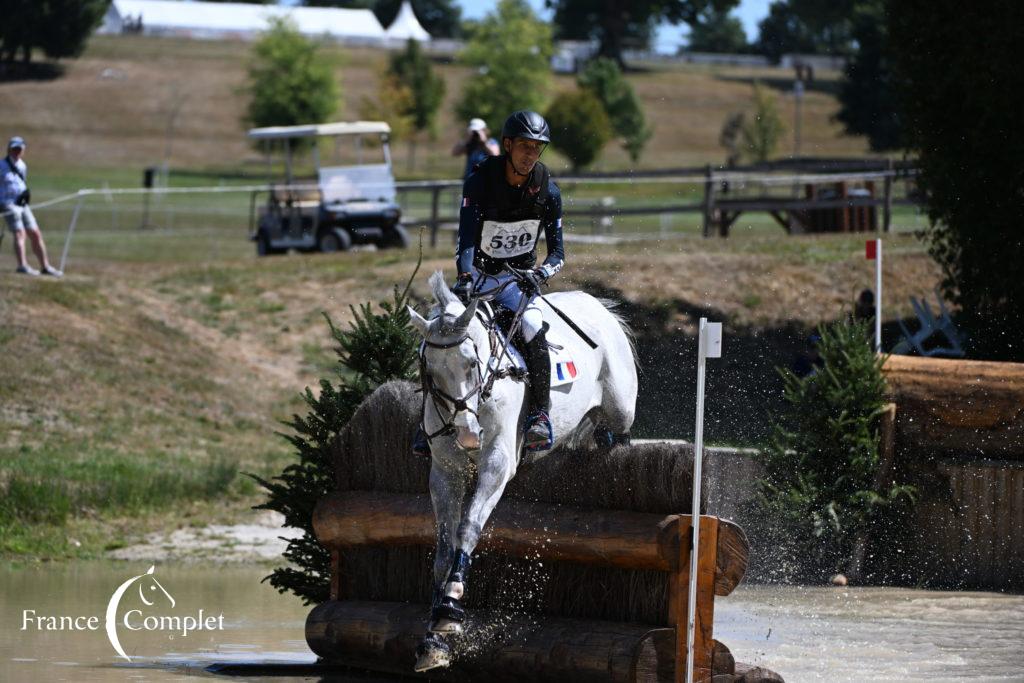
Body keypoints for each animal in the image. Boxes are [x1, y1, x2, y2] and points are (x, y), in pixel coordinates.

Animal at [409, 270, 638, 671]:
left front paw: (451, 603)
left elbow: (468, 529)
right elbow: (443, 548)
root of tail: (595, 303)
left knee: (617, 432)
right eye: (429, 370)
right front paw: (433, 638)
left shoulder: (497, 462)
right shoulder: (445, 470)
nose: (467, 434)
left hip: (621, 407)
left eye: (471, 362)